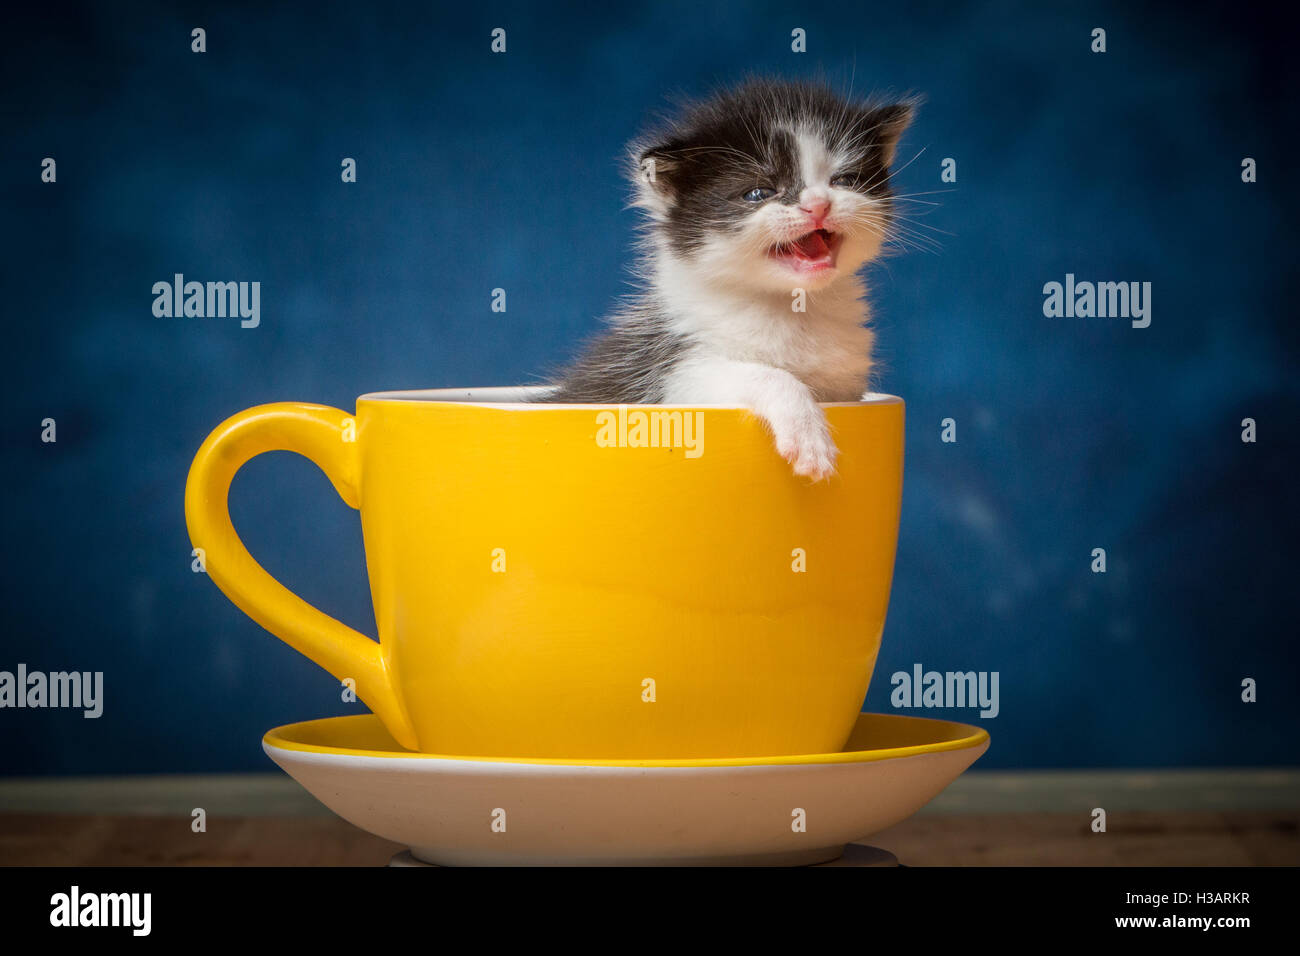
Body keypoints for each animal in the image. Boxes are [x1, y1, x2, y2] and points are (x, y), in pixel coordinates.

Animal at [538, 75, 915, 481]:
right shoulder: (669, 374)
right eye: (758, 192)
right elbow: (758, 374)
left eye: (844, 180)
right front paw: (808, 432)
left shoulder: (847, 386)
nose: (818, 205)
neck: (790, 305)